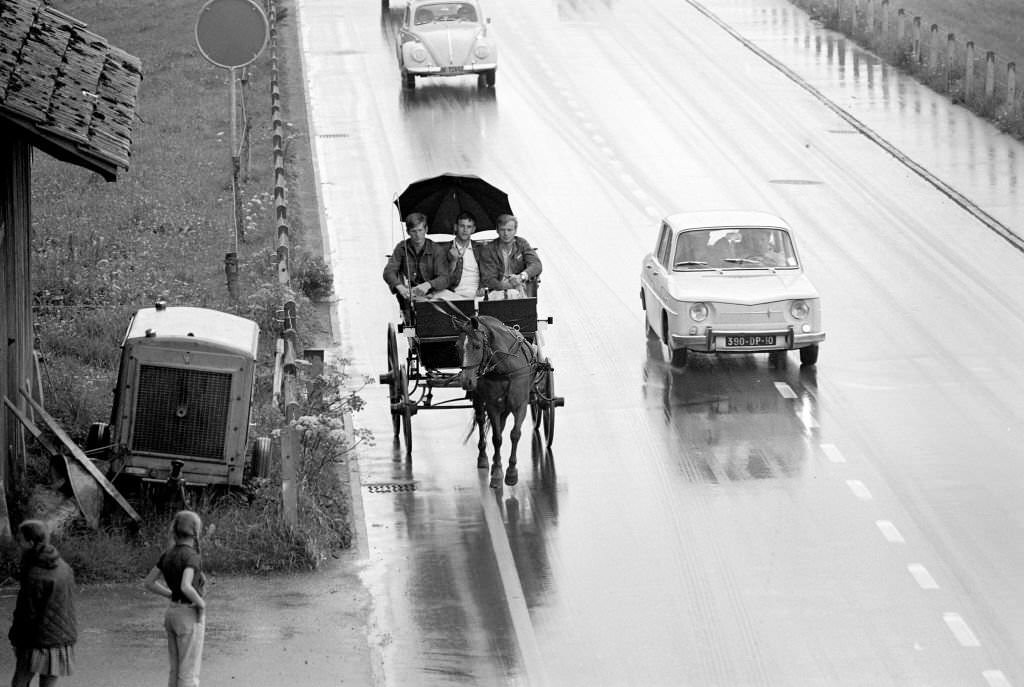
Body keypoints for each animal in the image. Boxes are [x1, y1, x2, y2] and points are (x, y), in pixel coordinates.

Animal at [454, 315, 536, 487]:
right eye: (456, 346)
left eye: (477, 346)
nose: (465, 381)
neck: (506, 369)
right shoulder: (493, 406)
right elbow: (497, 438)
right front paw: (498, 472)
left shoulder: (520, 405)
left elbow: (515, 434)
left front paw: (511, 472)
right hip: (479, 398)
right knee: (480, 420)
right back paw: (483, 458)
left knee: (502, 425)